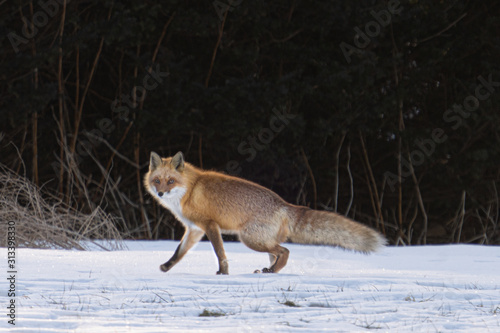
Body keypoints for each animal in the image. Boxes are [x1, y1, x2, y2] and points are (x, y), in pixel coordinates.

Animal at [145, 152, 386, 274]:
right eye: (157, 180)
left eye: (171, 181)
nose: (160, 193)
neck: (189, 189)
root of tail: (284, 203)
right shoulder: (195, 229)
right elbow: (179, 252)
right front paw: (166, 267)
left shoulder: (210, 225)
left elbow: (220, 254)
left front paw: (223, 273)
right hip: (261, 241)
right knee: (278, 253)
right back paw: (271, 271)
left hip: (250, 239)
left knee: (285, 251)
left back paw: (271, 271)